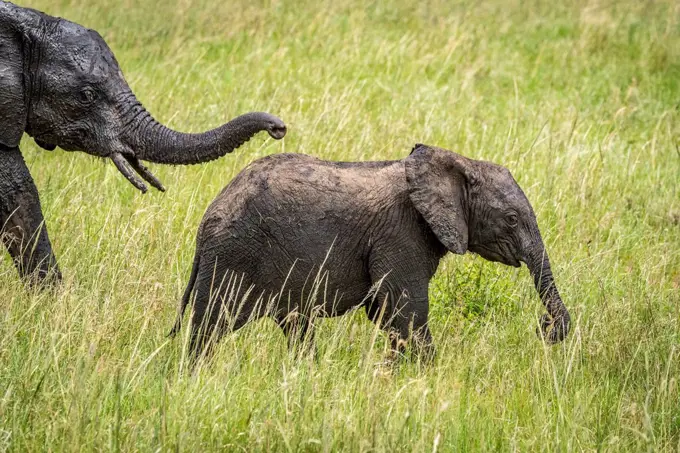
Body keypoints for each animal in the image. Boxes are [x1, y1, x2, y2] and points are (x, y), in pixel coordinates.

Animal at [170, 144, 568, 356]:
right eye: (512, 219)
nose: (544, 328)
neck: (455, 162)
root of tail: (207, 219)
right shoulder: (400, 233)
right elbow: (408, 313)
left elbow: (386, 314)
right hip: (232, 256)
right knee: (208, 329)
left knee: (295, 326)